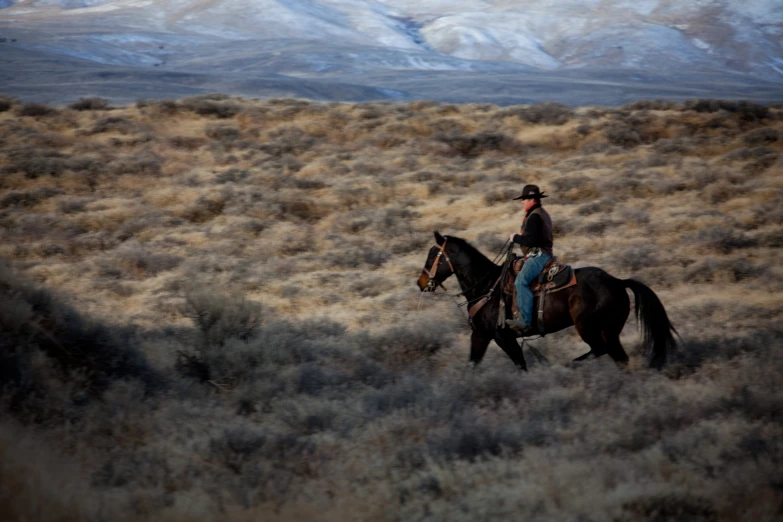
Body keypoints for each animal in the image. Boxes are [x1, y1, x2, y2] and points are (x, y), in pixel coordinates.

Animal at [416, 231, 680, 370]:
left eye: (432, 255)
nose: (421, 282)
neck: (486, 286)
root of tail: (617, 281)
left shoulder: (503, 337)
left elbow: (520, 365)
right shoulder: (481, 335)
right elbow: (473, 363)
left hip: (589, 327)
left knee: (599, 350)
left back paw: (568, 366)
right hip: (610, 331)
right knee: (619, 357)